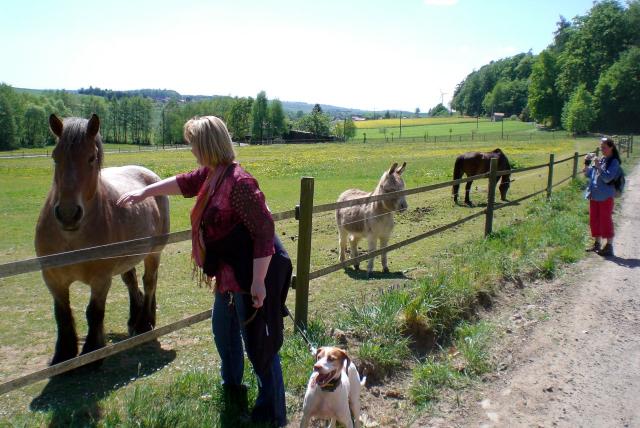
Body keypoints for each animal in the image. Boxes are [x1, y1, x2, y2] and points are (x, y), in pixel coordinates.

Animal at [35, 114, 170, 364]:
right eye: (55, 157)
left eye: (91, 158)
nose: (68, 213)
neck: (71, 237)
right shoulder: (53, 279)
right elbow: (62, 314)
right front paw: (63, 355)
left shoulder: (101, 279)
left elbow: (94, 312)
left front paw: (91, 352)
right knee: (131, 281)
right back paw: (134, 319)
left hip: (154, 253)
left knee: (149, 281)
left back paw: (144, 322)